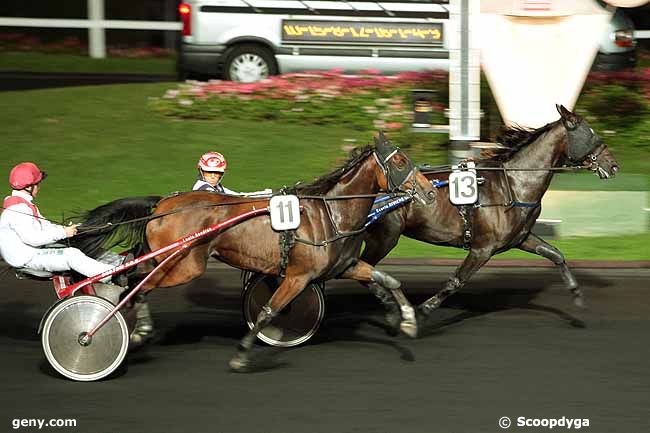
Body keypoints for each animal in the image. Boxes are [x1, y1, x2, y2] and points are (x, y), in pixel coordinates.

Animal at [73, 133, 432, 370]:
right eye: (401, 161)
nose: (429, 191)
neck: (331, 213)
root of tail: (161, 204)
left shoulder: (344, 265)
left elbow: (388, 280)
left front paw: (406, 320)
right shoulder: (298, 277)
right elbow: (269, 312)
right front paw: (242, 353)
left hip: (167, 260)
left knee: (131, 278)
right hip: (183, 266)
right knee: (137, 283)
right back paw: (123, 329)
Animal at [360, 104, 616, 318]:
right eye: (590, 133)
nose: (613, 165)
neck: (513, 184)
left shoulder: (521, 238)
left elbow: (556, 254)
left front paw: (576, 294)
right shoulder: (482, 249)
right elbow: (456, 281)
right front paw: (423, 309)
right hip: (385, 238)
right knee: (364, 267)